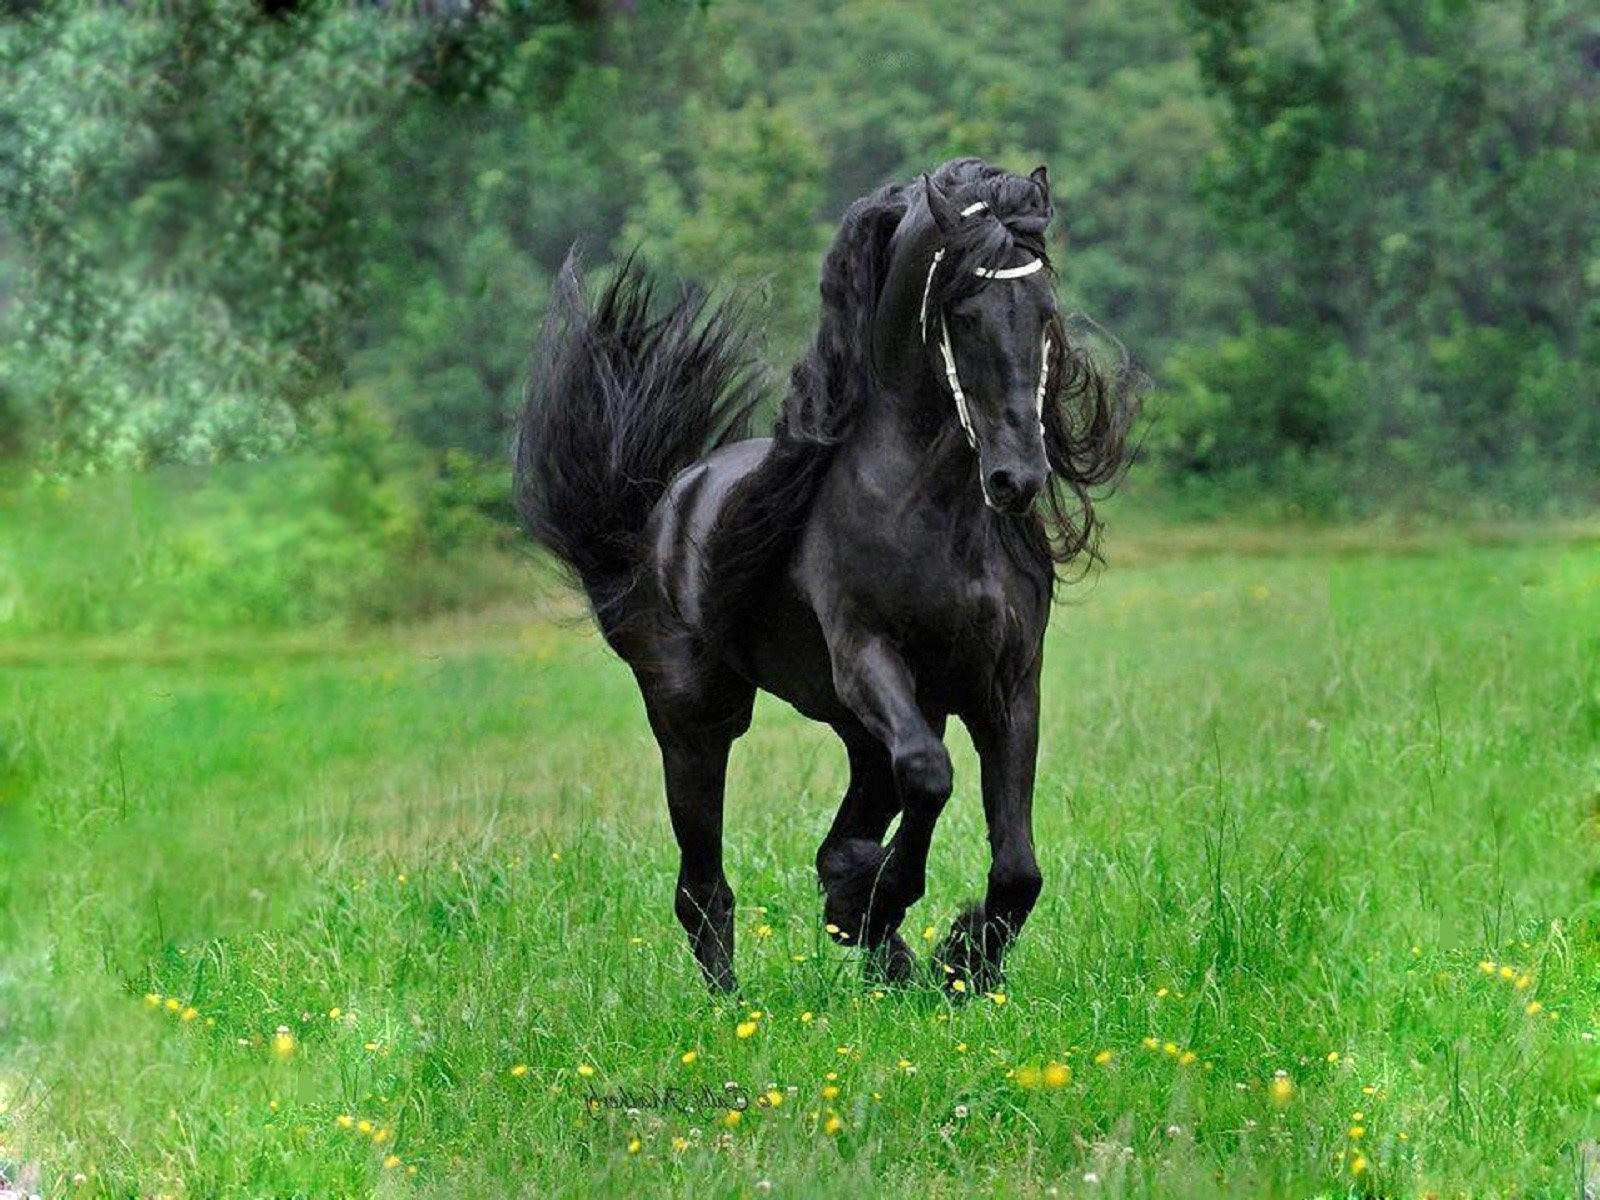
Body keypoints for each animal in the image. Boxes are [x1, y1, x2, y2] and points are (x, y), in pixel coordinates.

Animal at [515, 157, 1138, 994]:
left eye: (1044, 310)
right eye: (965, 311)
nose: (1017, 480)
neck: (934, 512)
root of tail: (670, 501)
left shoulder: (1007, 685)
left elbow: (1016, 867)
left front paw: (961, 961)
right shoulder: (867, 658)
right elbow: (930, 776)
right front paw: (896, 909)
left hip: (857, 732)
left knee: (840, 835)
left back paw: (877, 942)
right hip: (697, 721)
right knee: (702, 885)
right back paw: (735, 997)